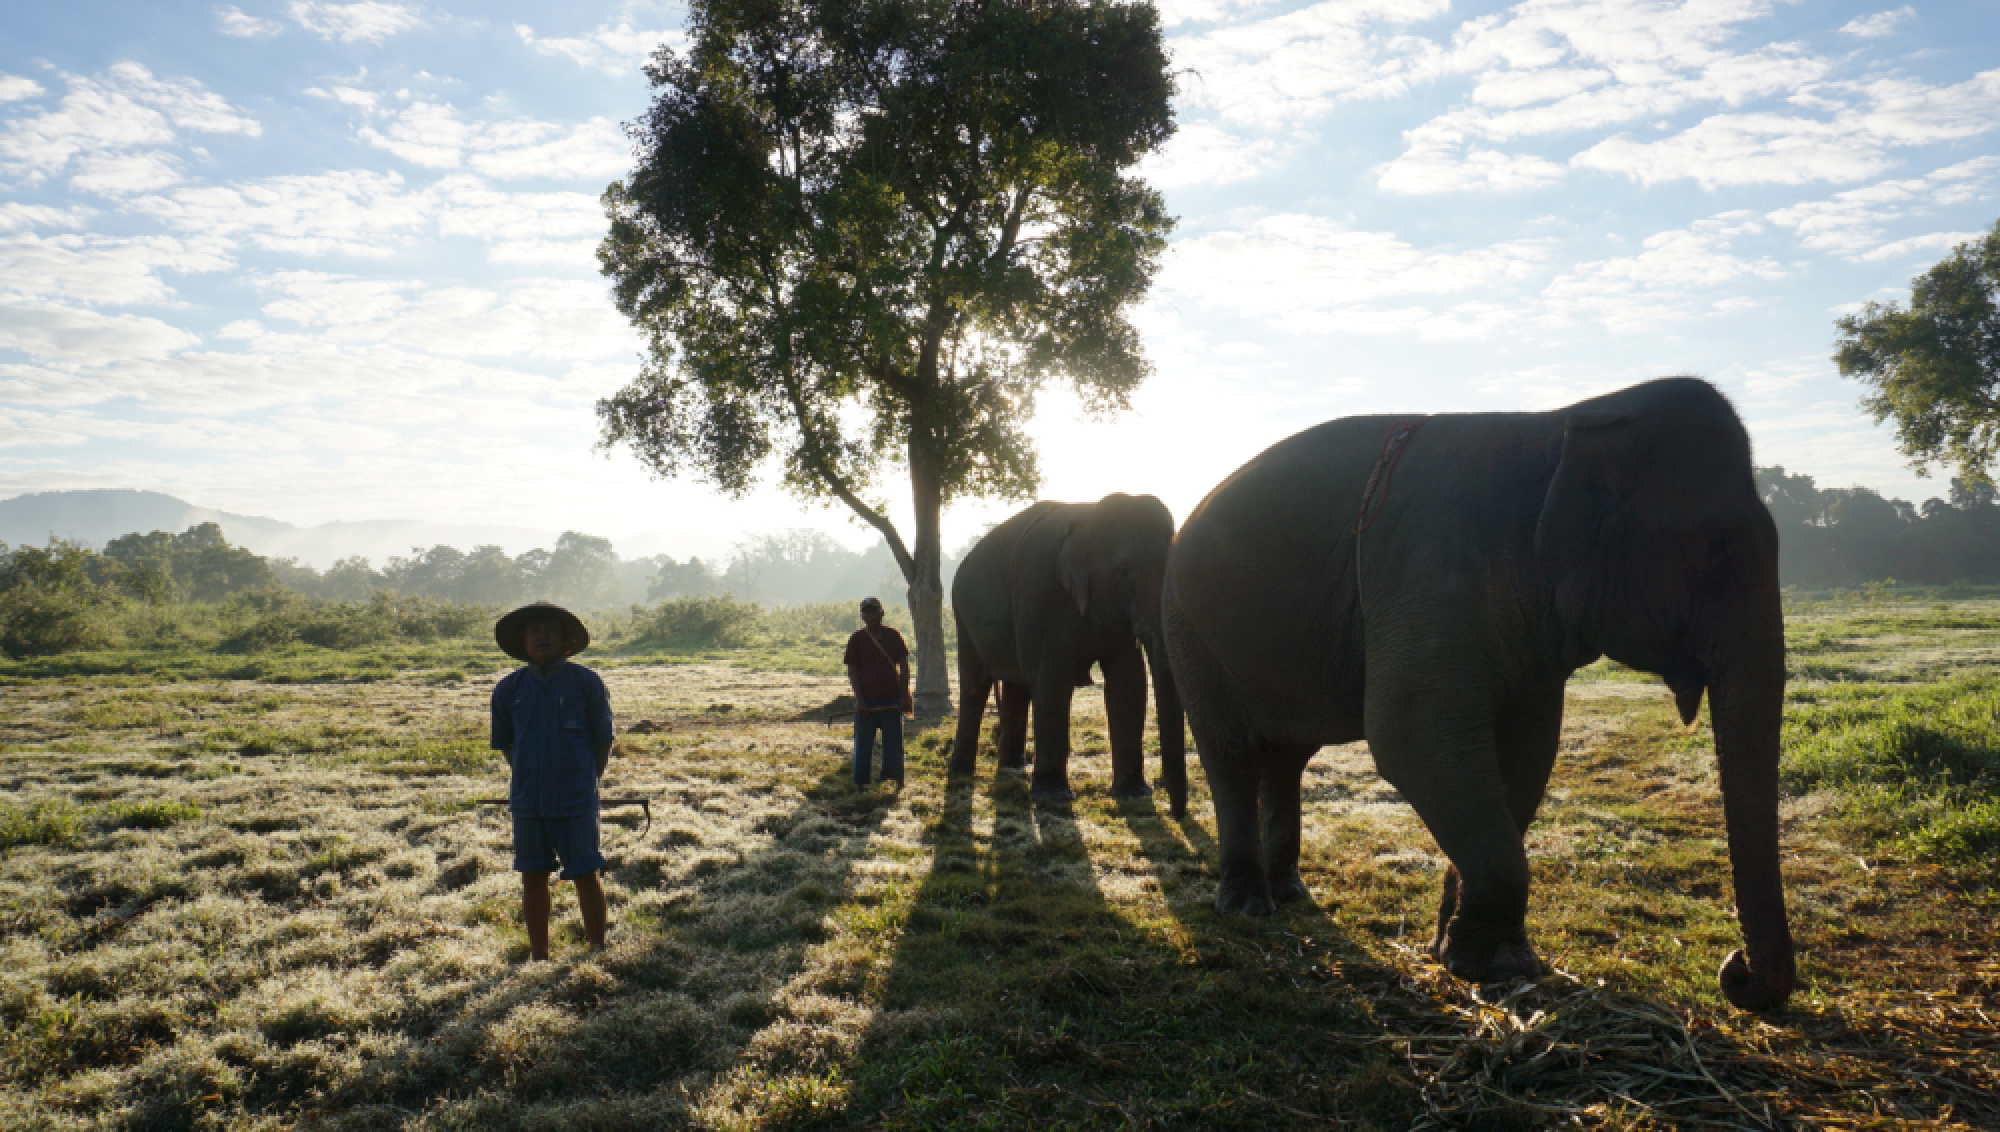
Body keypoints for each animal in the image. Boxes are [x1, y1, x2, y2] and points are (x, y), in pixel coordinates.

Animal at [949, 493, 1189, 817]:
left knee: (1016, 686)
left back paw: (1013, 767)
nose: (1176, 814)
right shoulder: (1040, 592)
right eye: (1123, 572)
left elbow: (1129, 680)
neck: (1089, 516)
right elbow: (1052, 680)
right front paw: (1053, 797)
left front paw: (1134, 794)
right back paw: (962, 771)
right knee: (975, 685)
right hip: (962, 617)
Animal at [1163, 378, 1795, 1011]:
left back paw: (1291, 891)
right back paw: (1248, 907)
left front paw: (1479, 957)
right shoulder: (1431, 575)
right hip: (1190, 633)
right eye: (1716, 546)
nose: (1734, 969)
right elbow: (1409, 737)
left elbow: (1528, 753)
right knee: (1230, 753)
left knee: (1288, 757)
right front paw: (1486, 966)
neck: (1561, 425)